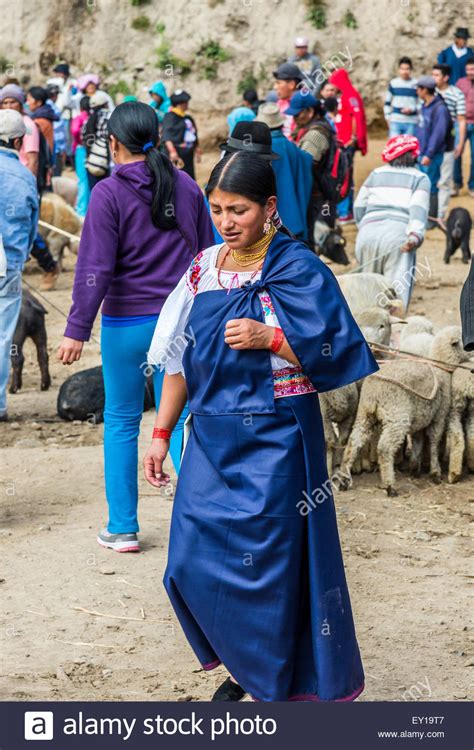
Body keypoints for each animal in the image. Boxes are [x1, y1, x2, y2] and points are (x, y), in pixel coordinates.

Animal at [336, 326, 470, 496]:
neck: (440, 369)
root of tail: (375, 390)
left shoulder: (421, 418)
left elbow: (418, 441)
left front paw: (415, 468)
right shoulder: (438, 416)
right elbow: (434, 441)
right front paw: (435, 473)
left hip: (364, 415)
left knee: (353, 443)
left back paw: (344, 479)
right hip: (397, 418)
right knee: (384, 448)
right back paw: (390, 485)